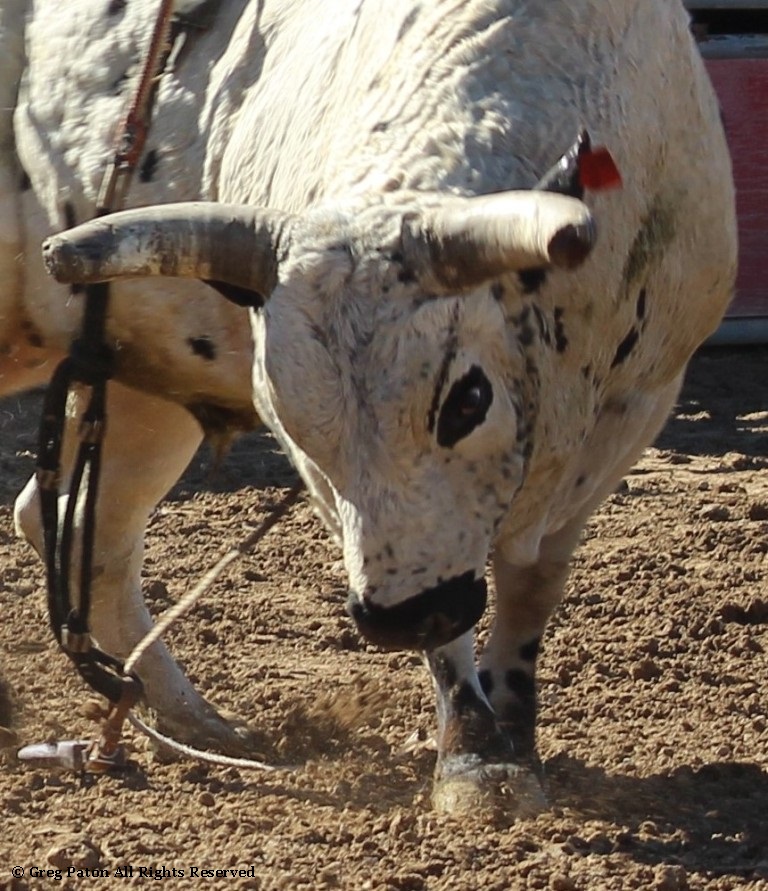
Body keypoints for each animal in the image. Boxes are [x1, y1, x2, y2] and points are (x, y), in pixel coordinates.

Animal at [7, 0, 736, 814]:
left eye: (467, 398)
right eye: (291, 422)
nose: (396, 617)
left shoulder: (640, 400)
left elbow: (535, 579)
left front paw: (514, 728)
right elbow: (447, 635)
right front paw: (475, 757)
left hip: (144, 385)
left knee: (79, 526)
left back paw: (197, 722)